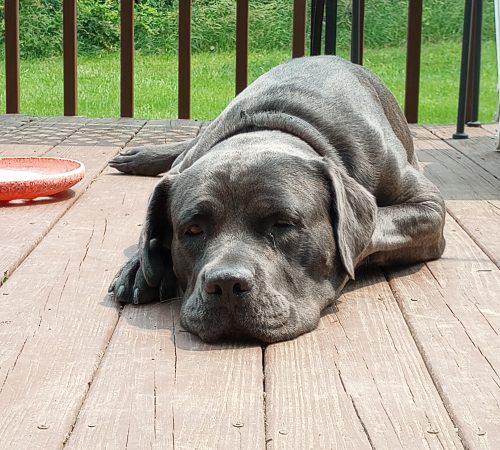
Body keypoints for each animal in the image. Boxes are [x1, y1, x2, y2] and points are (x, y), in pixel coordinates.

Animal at [108, 56, 446, 343]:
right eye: (192, 229)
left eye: (282, 224)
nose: (226, 284)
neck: (272, 127)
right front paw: (139, 268)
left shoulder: (429, 206)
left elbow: (374, 230)